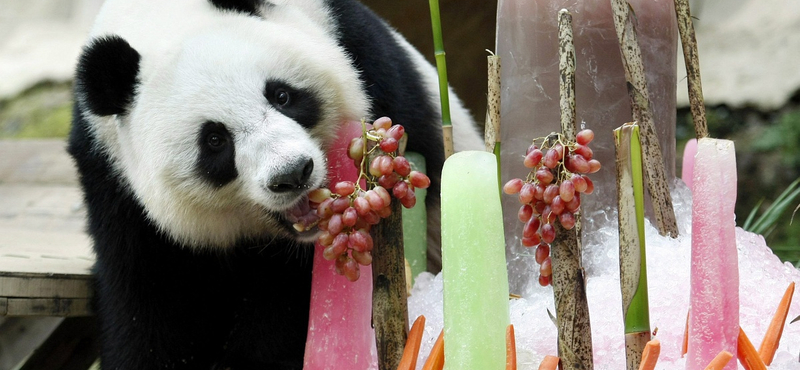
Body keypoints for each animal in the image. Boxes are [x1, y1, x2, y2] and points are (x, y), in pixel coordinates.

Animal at [69, 0, 482, 368]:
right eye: (214, 140)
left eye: (282, 95)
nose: (293, 173)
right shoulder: (113, 181)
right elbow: (149, 297)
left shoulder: (367, 66)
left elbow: (286, 299)